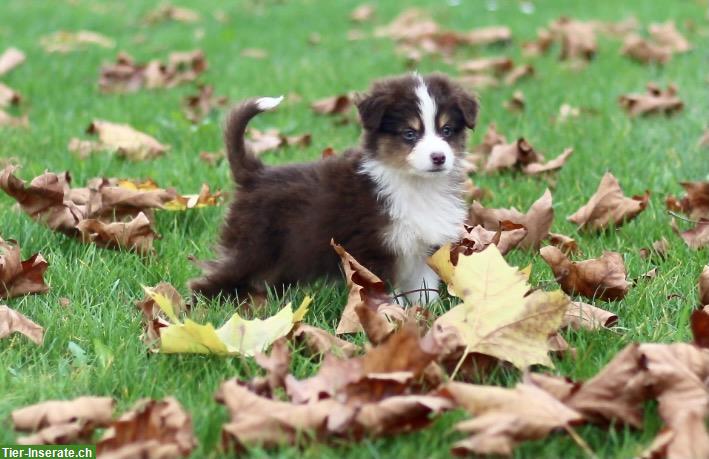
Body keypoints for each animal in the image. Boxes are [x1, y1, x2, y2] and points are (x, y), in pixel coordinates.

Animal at [189, 73, 476, 306]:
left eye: (447, 130)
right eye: (409, 133)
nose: (439, 157)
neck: (414, 184)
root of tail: (255, 174)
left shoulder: (422, 250)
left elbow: (424, 291)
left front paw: (426, 319)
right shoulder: (370, 251)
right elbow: (383, 292)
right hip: (252, 247)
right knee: (213, 279)